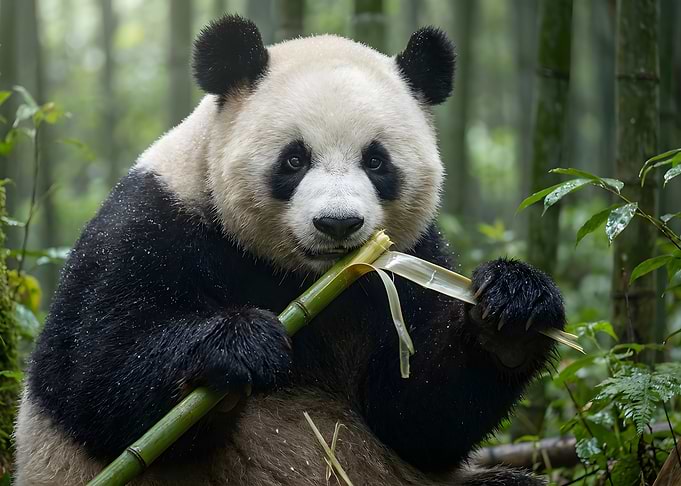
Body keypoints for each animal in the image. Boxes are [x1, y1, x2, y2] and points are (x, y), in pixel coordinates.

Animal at [14, 15, 565, 486]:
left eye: (377, 161)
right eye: (295, 159)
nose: (338, 223)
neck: (297, 276)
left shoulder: (412, 255)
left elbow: (419, 417)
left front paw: (514, 309)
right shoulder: (150, 226)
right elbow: (91, 377)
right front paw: (240, 344)